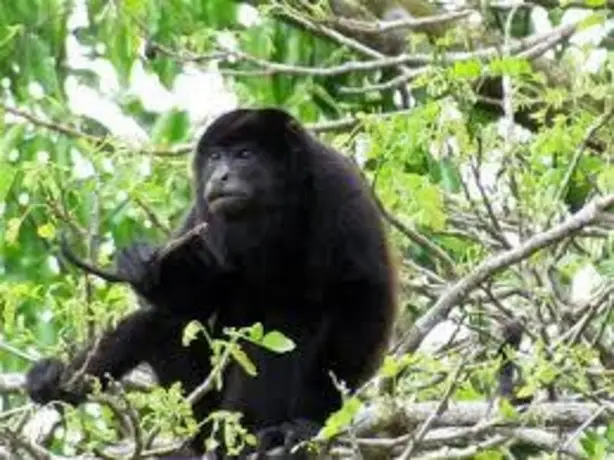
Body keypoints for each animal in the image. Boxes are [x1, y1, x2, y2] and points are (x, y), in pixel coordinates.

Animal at [26, 107, 400, 456]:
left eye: (245, 154)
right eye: (216, 157)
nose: (220, 176)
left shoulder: (340, 189)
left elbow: (364, 299)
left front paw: (310, 424)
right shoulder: (202, 213)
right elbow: (195, 299)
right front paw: (142, 266)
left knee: (290, 323)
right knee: (160, 322)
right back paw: (60, 382)